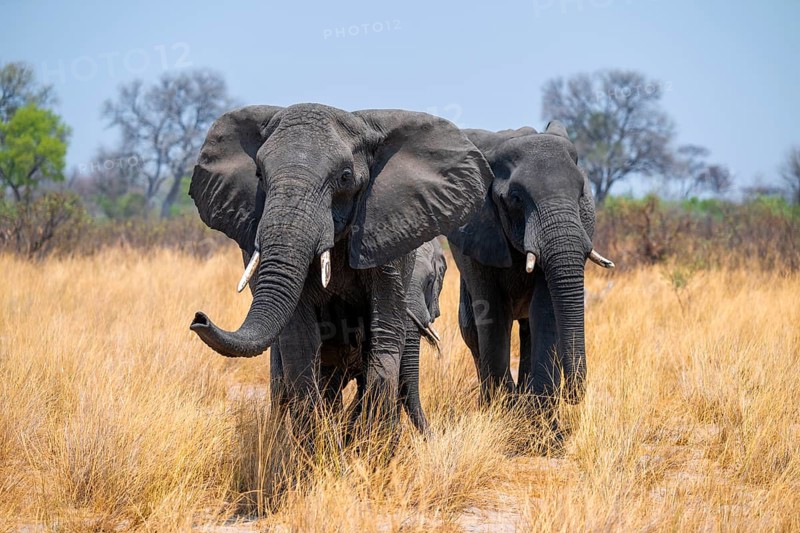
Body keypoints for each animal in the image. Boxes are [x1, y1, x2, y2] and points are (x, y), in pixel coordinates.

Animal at [188, 104, 489, 432]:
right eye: (259, 174)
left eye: (345, 177)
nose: (199, 318)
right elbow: (300, 342)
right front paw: (315, 442)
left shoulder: (385, 237)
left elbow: (384, 335)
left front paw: (371, 441)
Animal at [447, 122, 614, 408]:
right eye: (515, 198)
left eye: (581, 194)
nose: (572, 395)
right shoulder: (475, 234)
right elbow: (492, 310)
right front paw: (501, 409)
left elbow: (544, 310)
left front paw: (538, 414)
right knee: (470, 327)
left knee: (527, 327)